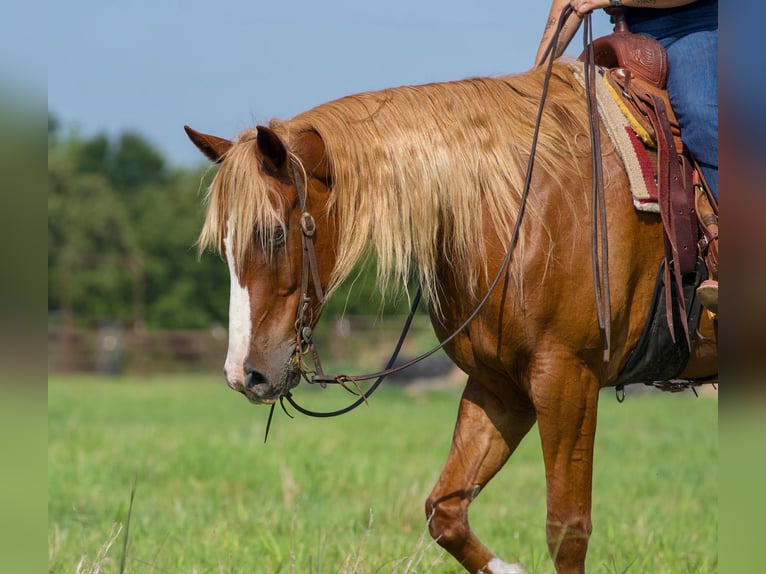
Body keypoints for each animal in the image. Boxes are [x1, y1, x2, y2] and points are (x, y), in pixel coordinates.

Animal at [185, 62, 717, 574]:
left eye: (275, 232)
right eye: (225, 243)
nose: (244, 374)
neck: (520, 210)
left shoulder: (568, 379)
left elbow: (567, 531)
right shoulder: (501, 389)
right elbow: (444, 511)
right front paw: (508, 568)